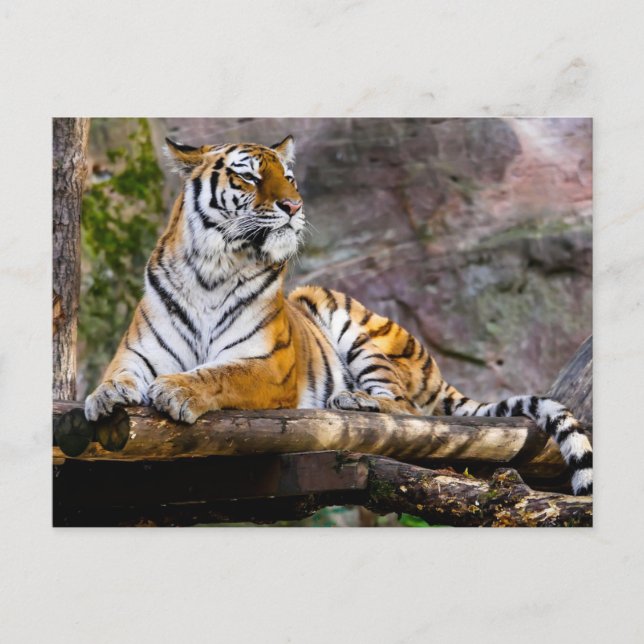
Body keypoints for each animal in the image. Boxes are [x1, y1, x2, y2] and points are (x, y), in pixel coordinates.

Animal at [84, 134, 593, 496]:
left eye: (290, 179)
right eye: (249, 178)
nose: (294, 206)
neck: (213, 268)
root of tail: (436, 370)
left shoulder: (269, 365)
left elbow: (219, 374)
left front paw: (177, 390)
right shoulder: (138, 352)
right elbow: (117, 375)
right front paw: (103, 397)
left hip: (354, 325)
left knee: (408, 409)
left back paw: (353, 400)